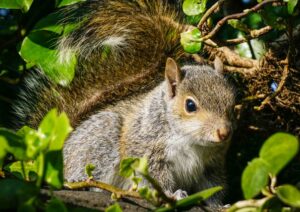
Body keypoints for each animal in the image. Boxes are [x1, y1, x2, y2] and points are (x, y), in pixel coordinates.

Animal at [11, 0, 236, 209]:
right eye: (190, 105)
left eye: (232, 104)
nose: (224, 133)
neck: (192, 140)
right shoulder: (146, 150)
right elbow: (155, 179)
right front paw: (172, 195)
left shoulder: (212, 164)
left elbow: (213, 187)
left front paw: (220, 206)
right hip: (102, 138)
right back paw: (85, 183)